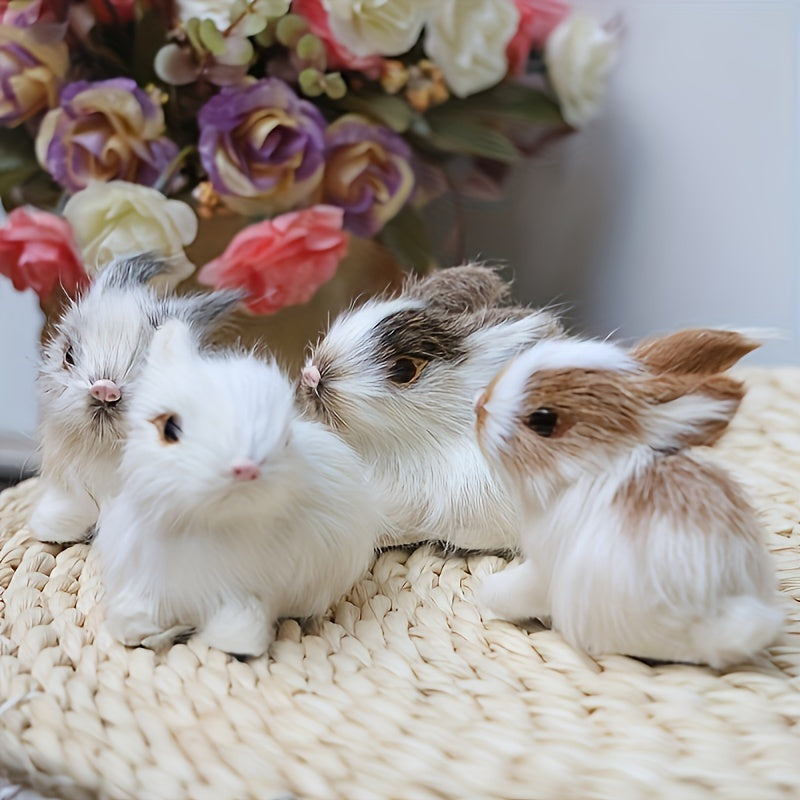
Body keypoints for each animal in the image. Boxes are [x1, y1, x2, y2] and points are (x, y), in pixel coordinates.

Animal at [94, 318, 380, 658]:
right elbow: (132, 623)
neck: (209, 526)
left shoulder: (245, 597)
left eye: (286, 438)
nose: (245, 468)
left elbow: (238, 631)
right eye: (169, 429)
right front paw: (145, 634)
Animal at [474, 328, 783, 668]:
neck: (588, 468)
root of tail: (720, 616)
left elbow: (511, 590)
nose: (480, 408)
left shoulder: (545, 569)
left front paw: (486, 599)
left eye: (543, 421)